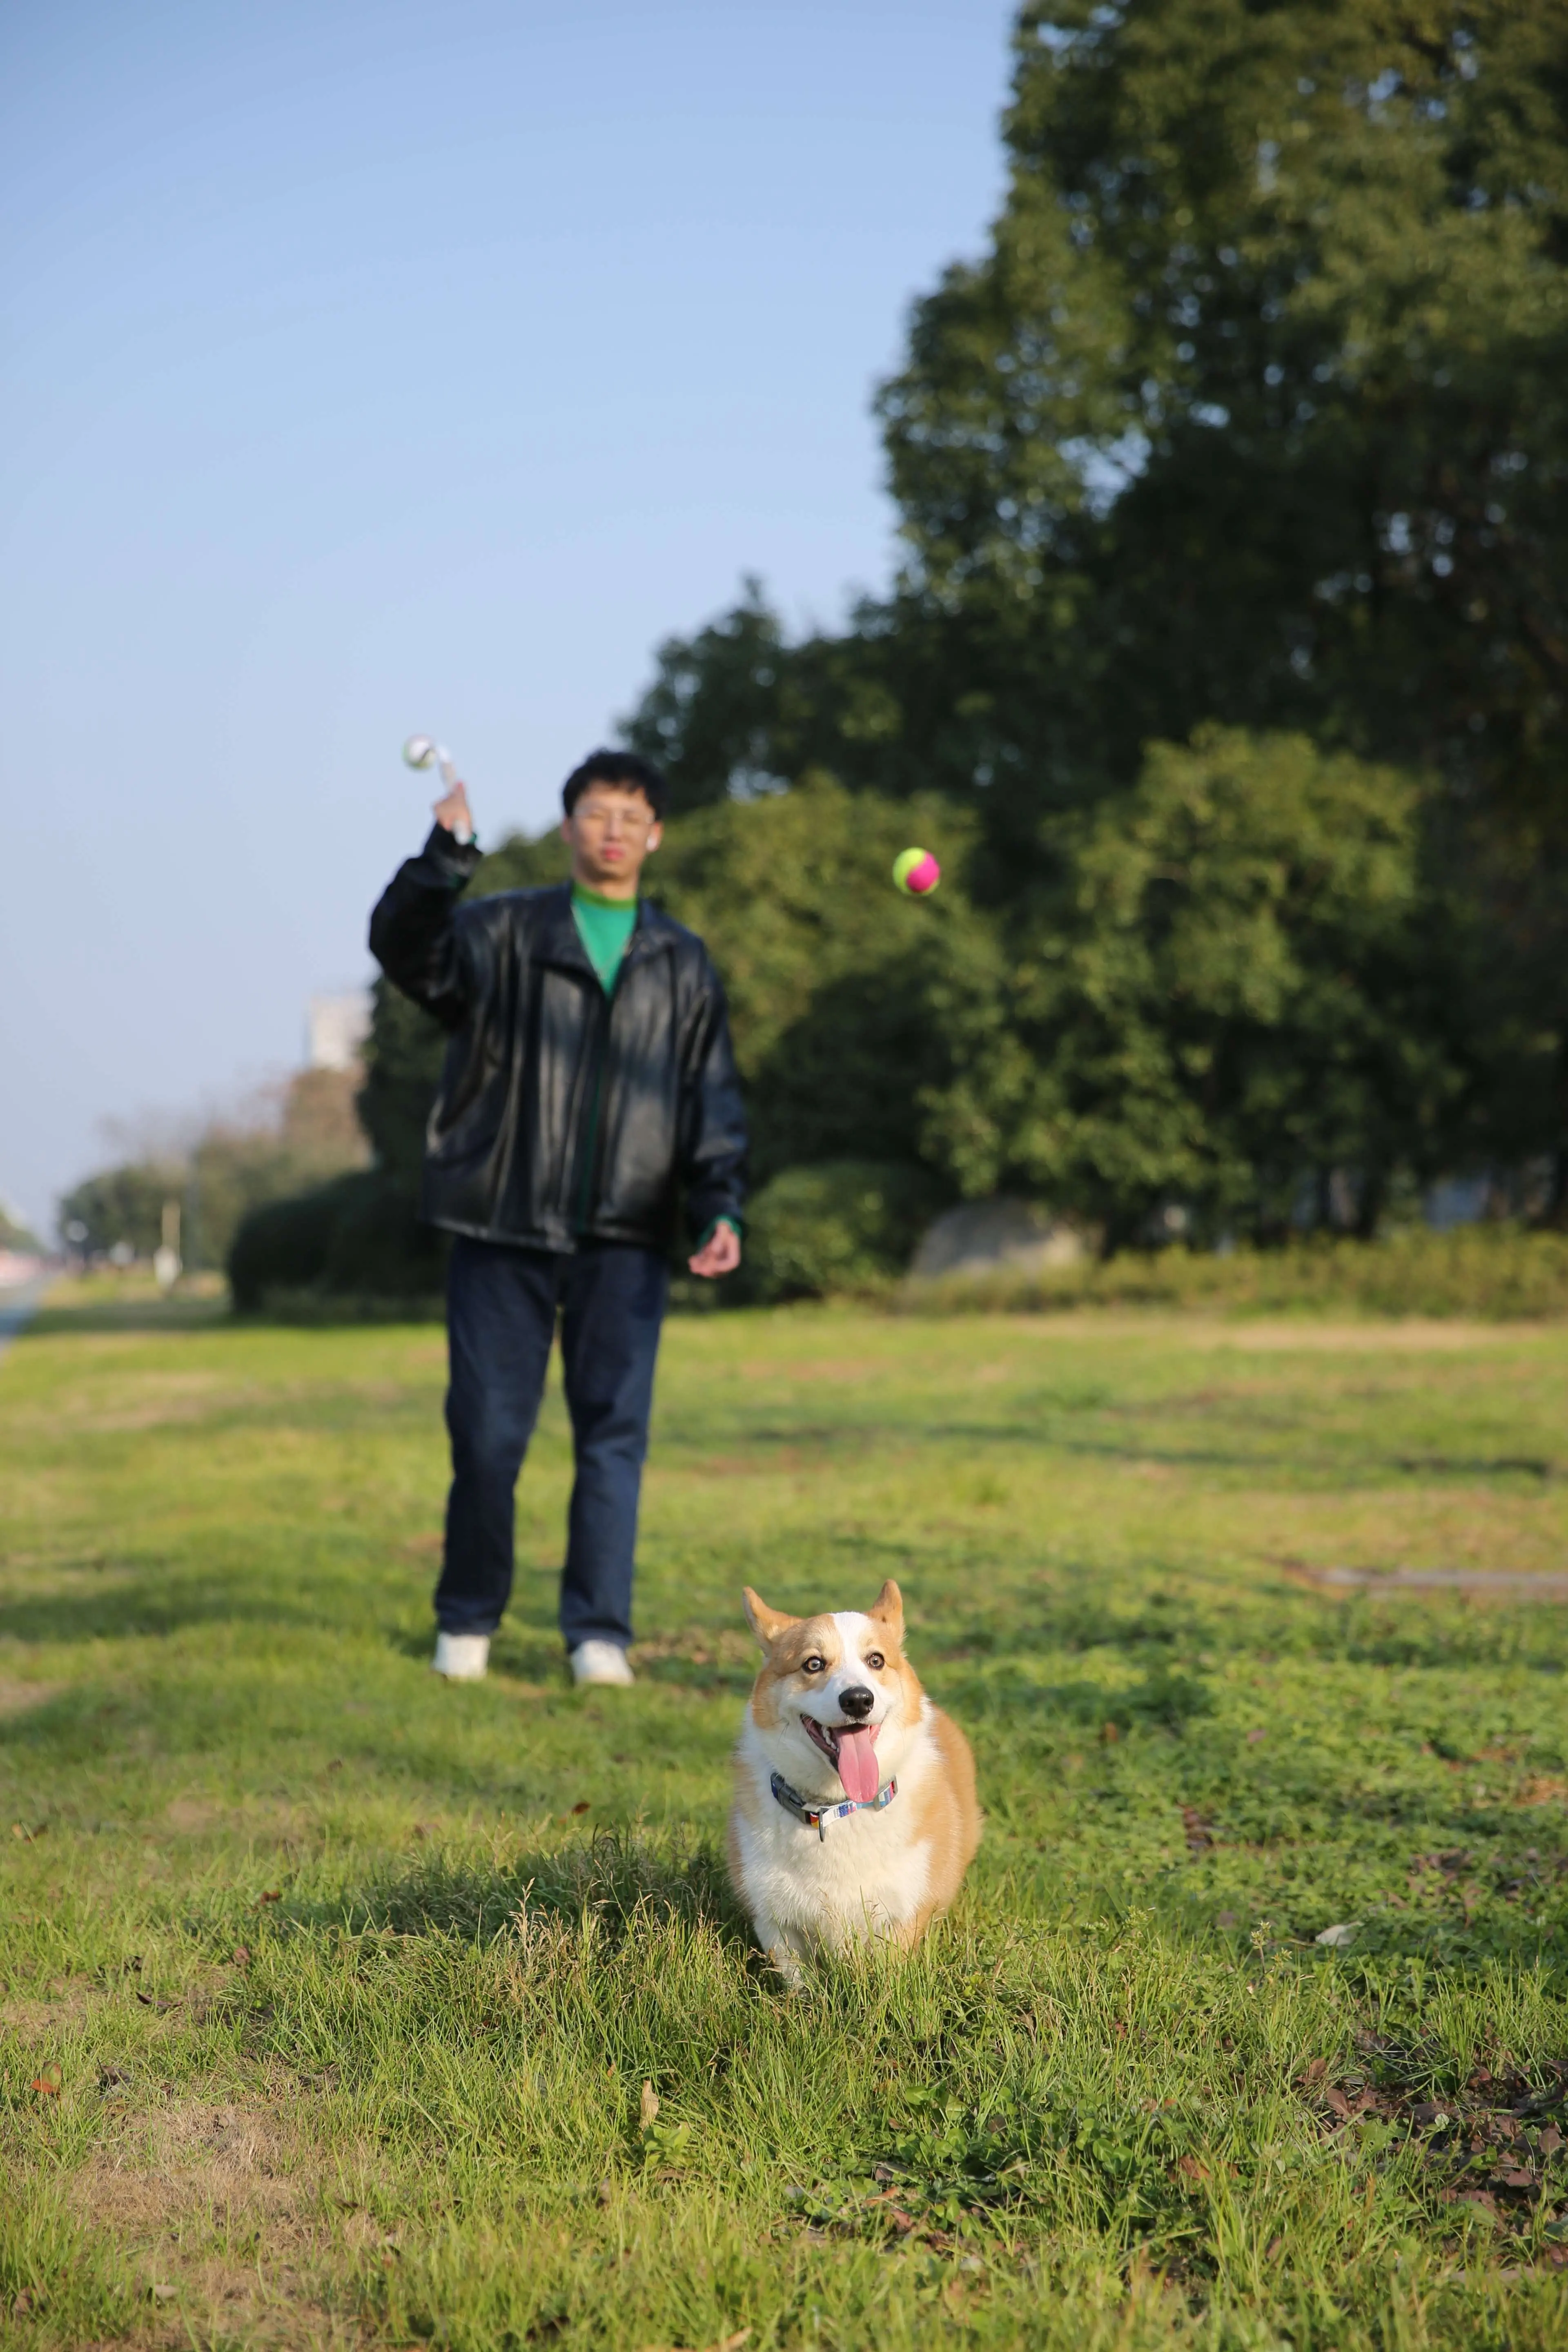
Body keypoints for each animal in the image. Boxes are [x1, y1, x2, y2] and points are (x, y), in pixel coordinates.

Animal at [728, 1580, 973, 1985]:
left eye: (876, 1661)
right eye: (813, 1664)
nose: (858, 1700)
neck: (837, 1808)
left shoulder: (901, 1917)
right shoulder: (775, 1922)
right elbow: (799, 1981)